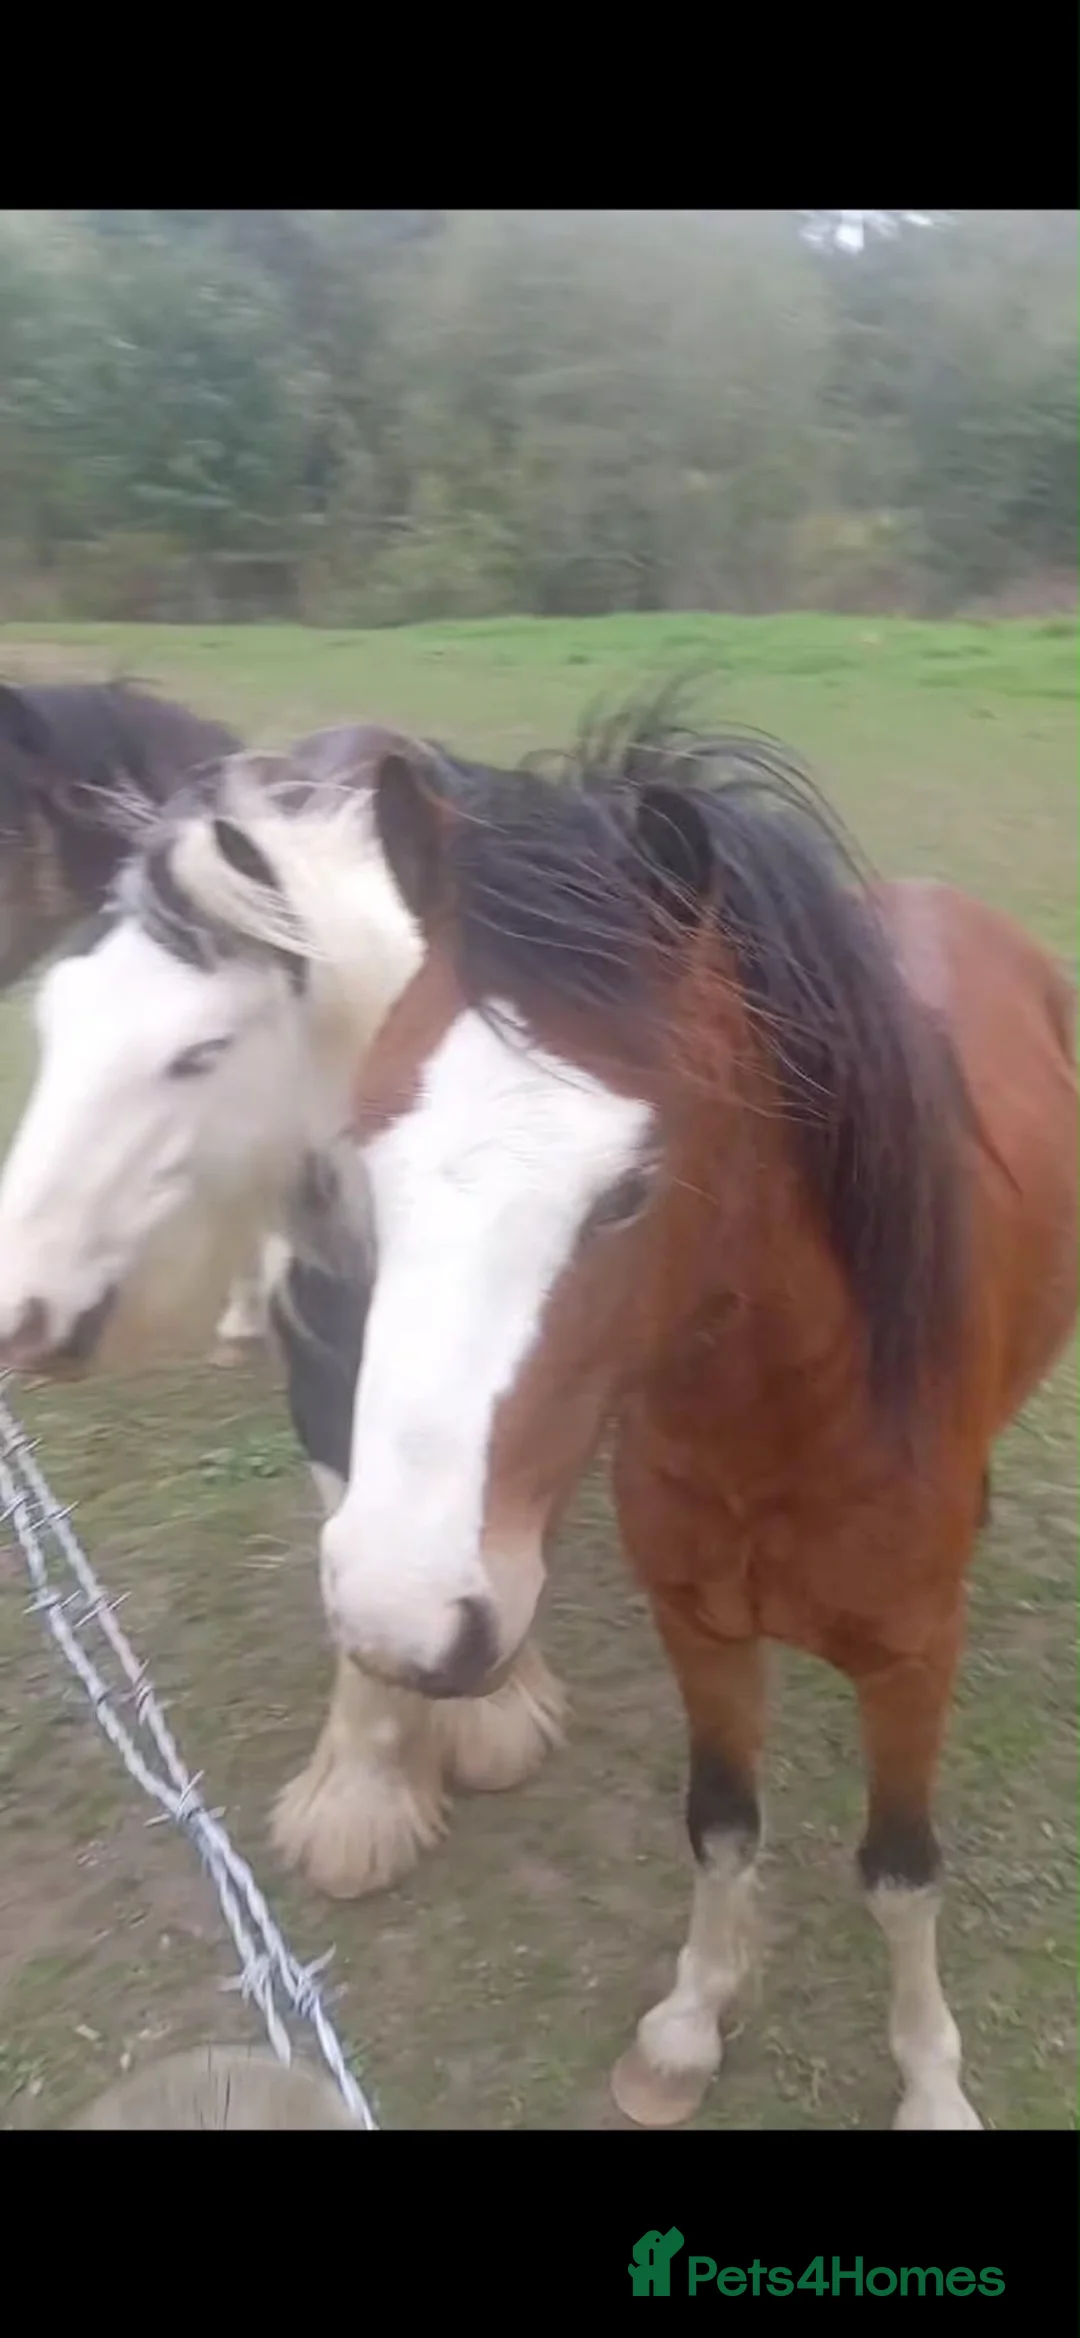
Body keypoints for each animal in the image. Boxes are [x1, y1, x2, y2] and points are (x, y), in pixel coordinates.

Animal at [300, 707, 1073, 2131]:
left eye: (630, 1189)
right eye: (370, 1145)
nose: (399, 1608)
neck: (779, 1421)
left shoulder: (911, 1662)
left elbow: (901, 1869)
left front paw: (931, 2079)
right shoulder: (698, 1627)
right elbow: (721, 1822)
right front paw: (689, 2022)